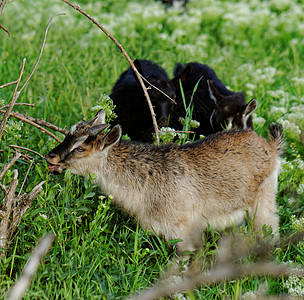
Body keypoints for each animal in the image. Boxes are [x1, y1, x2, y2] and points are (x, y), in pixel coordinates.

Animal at [45, 110, 284, 253]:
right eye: (67, 136)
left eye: (80, 148)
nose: (50, 156)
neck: (145, 182)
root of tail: (270, 147)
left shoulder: (180, 230)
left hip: (263, 203)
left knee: (271, 225)